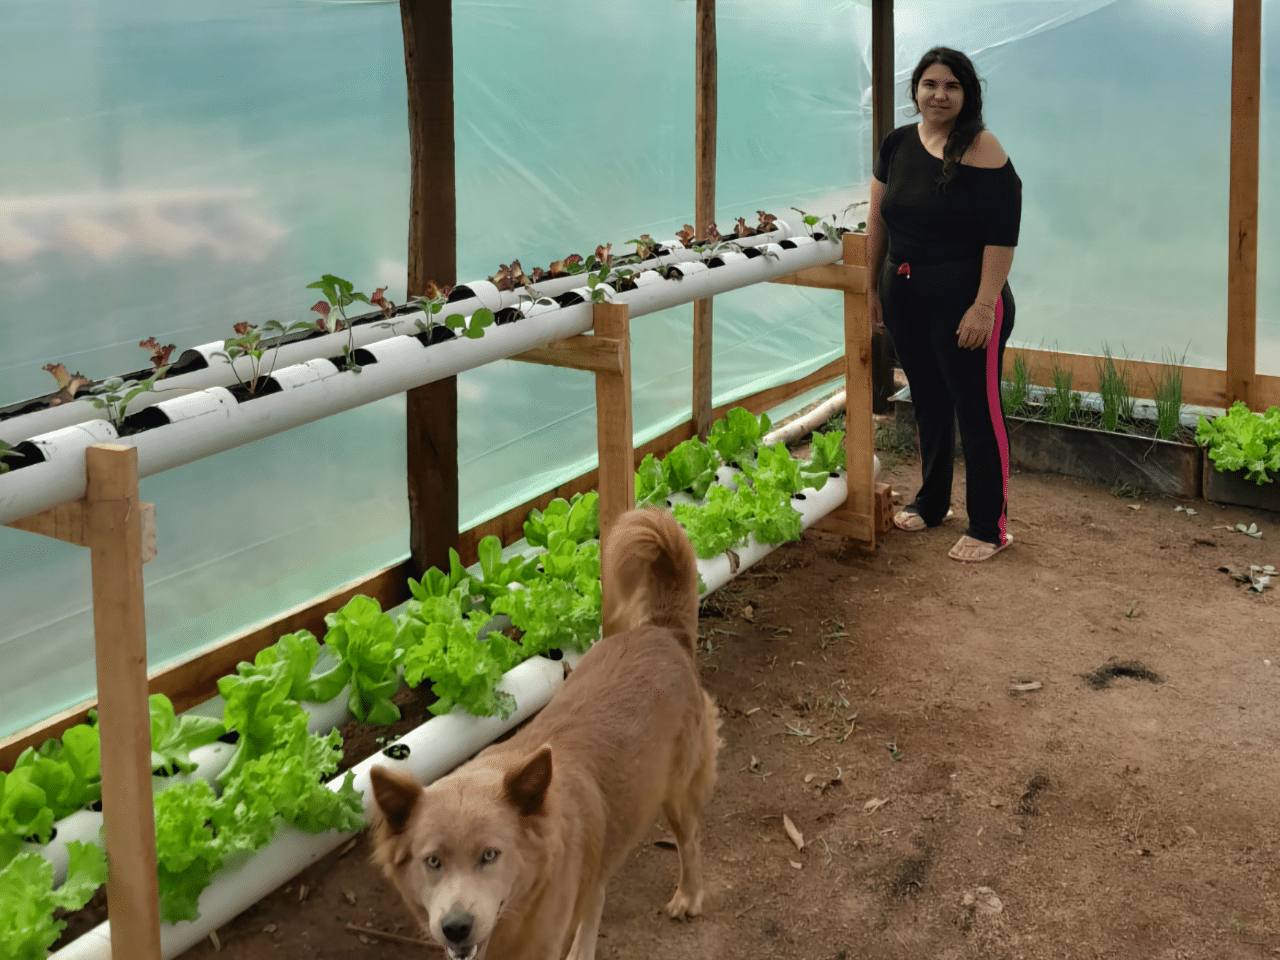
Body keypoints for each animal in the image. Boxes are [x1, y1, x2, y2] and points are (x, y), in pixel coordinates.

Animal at [371, 512, 721, 960]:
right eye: (432, 861)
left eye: (490, 855)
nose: (455, 927)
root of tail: (661, 631)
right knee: (597, 892)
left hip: (678, 793)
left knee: (689, 842)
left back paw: (689, 896)